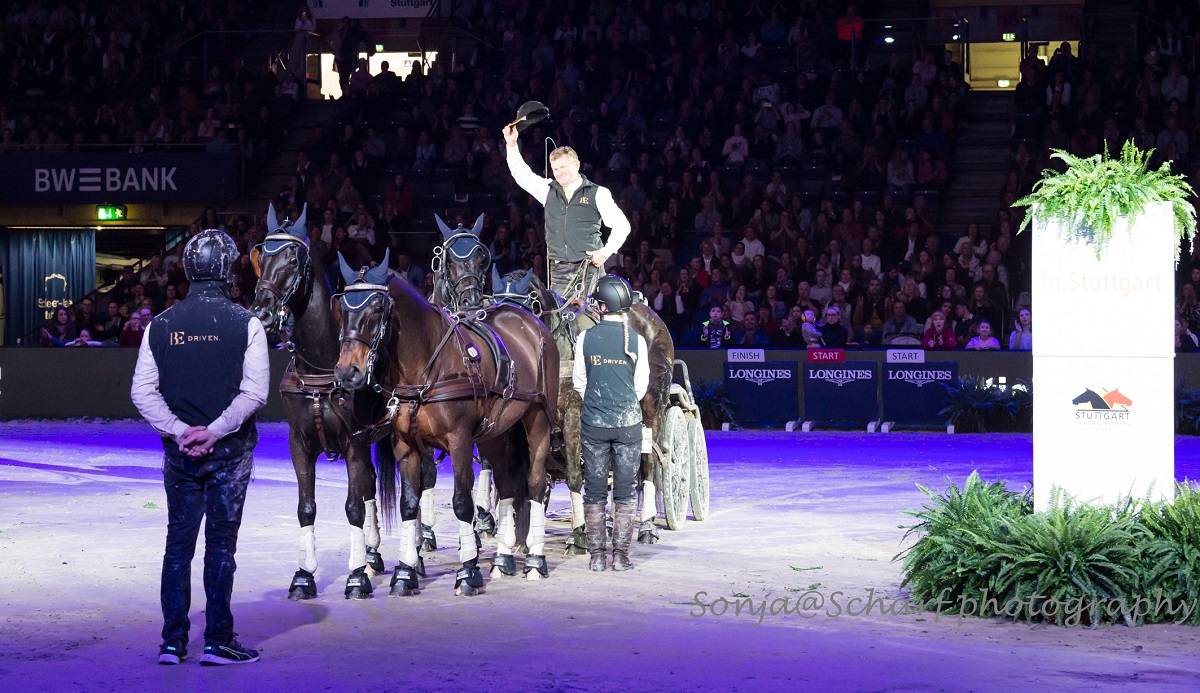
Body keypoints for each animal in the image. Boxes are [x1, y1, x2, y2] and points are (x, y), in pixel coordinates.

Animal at [249, 202, 392, 600]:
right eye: (262, 256)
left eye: (293, 259)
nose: (262, 312)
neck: (323, 364)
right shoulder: (300, 443)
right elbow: (306, 508)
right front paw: (304, 576)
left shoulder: (355, 442)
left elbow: (354, 507)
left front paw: (355, 577)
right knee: (371, 483)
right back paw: (372, 553)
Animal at [332, 251, 559, 596]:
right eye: (343, 309)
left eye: (377, 309)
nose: (348, 372)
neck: (426, 367)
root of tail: (530, 322)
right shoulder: (405, 445)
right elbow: (409, 504)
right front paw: (405, 573)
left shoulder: (460, 440)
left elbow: (462, 502)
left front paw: (467, 572)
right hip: (497, 432)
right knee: (508, 483)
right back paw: (502, 559)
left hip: (538, 421)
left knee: (534, 482)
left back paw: (535, 559)